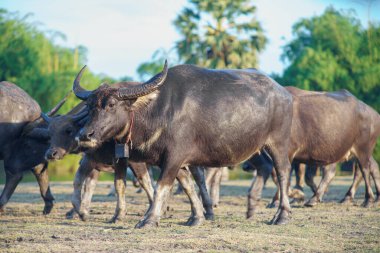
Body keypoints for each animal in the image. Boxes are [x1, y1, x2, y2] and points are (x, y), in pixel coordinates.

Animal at [73, 61, 294, 227]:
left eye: (111, 105)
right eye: (90, 106)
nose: (84, 134)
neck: (159, 111)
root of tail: (284, 94)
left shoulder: (174, 157)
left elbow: (162, 186)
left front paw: (149, 219)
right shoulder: (173, 160)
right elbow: (187, 185)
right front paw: (196, 217)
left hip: (278, 143)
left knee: (283, 172)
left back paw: (282, 215)